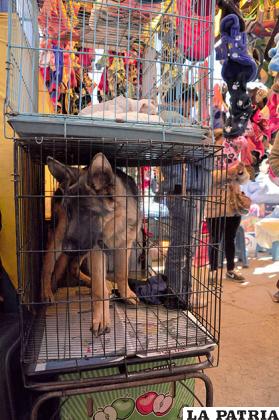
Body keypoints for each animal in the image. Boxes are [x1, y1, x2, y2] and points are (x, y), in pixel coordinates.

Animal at [41, 153, 140, 336]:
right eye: (69, 211)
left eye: (87, 213)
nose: (67, 250)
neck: (114, 223)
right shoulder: (97, 250)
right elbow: (100, 290)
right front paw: (101, 318)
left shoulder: (125, 246)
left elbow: (122, 273)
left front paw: (126, 294)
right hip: (61, 236)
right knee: (48, 263)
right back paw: (46, 291)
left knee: (73, 266)